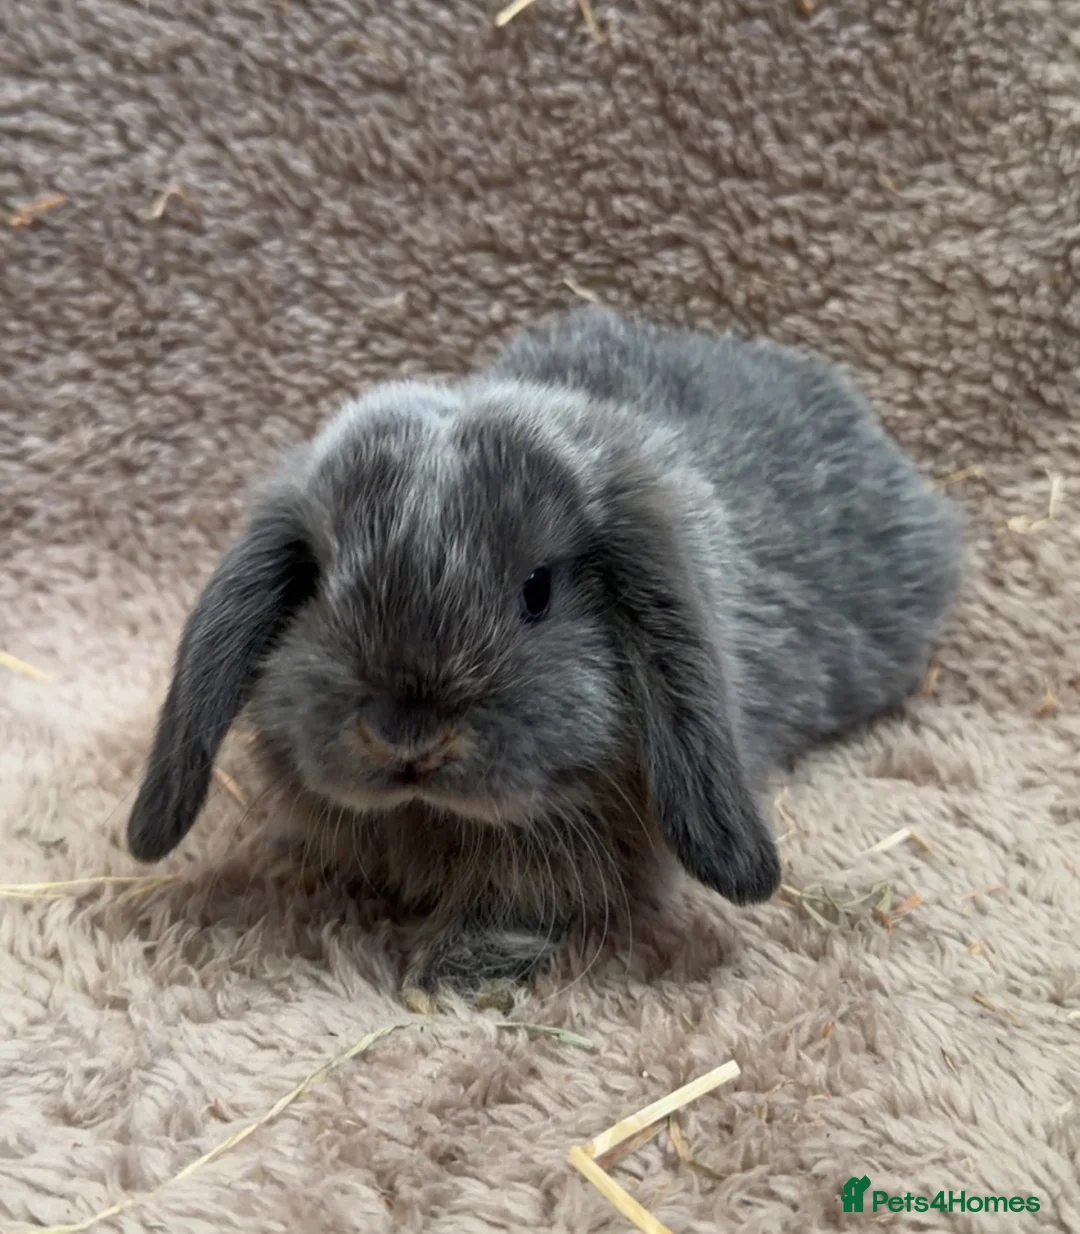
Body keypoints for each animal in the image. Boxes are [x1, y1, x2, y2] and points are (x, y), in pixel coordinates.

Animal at [126, 306, 963, 1008]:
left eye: (537, 591)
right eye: (322, 582)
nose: (406, 739)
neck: (428, 819)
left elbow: (516, 903)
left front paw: (452, 972)